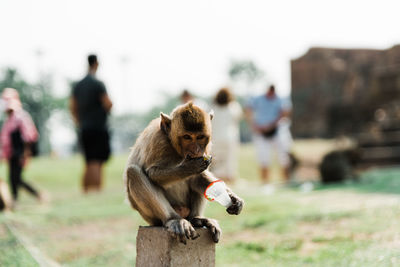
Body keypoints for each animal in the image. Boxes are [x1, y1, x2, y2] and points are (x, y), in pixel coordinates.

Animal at [124, 102, 244, 245]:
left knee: (201, 185)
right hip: (149, 215)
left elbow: (199, 177)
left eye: (200, 137)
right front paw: (189, 167)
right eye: (187, 137)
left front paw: (233, 198)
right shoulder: (157, 141)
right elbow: (152, 173)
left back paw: (197, 219)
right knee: (133, 172)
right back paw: (174, 219)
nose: (196, 150)